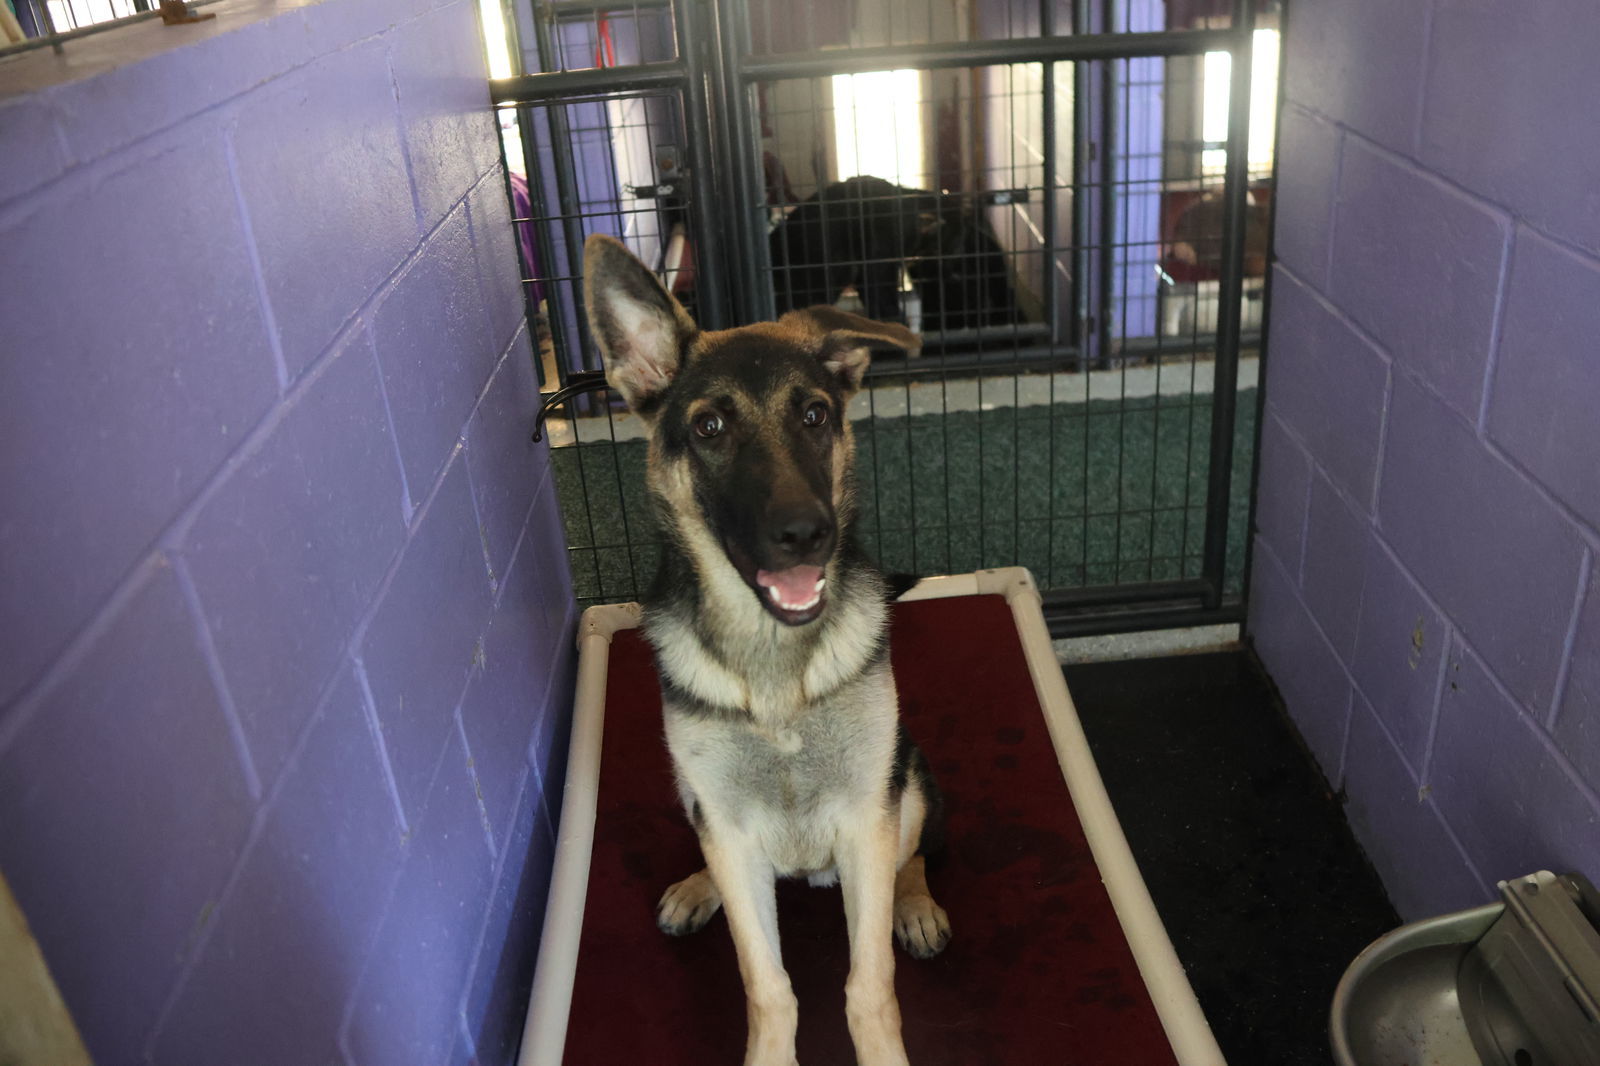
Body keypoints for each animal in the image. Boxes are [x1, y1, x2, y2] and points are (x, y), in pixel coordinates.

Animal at [585, 235, 947, 1062]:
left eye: (815, 415)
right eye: (710, 429)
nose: (808, 533)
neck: (775, 662)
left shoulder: (866, 815)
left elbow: (868, 986)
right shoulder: (726, 820)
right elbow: (767, 986)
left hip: (906, 778)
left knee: (912, 850)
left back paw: (914, 904)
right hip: (704, 808)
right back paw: (699, 887)